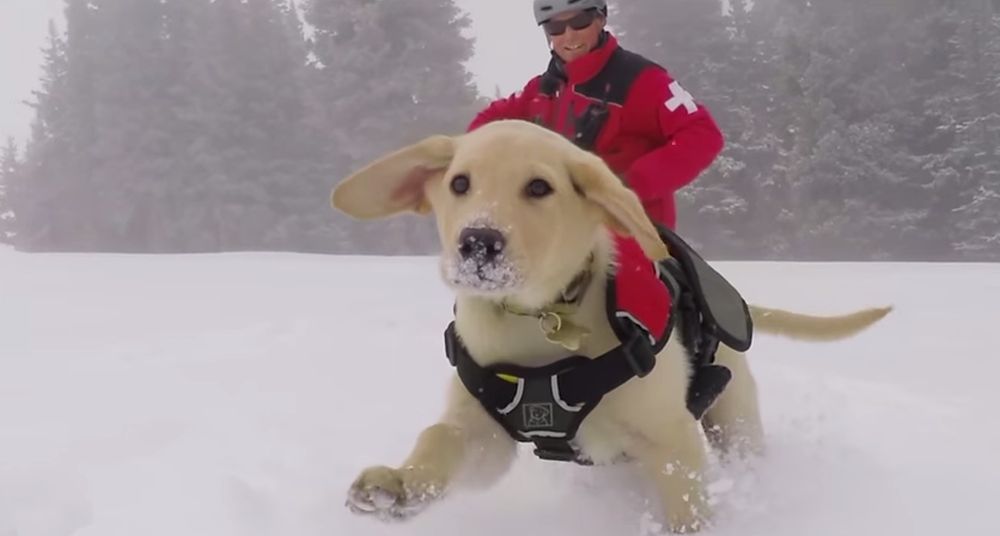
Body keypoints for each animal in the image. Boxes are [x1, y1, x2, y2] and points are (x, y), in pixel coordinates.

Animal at [330, 118, 892, 532]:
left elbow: (688, 507)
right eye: (459, 183)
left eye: (539, 187)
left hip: (734, 419)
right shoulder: (483, 429)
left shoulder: (671, 436)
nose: (478, 243)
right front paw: (399, 485)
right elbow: (439, 438)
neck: (540, 321)